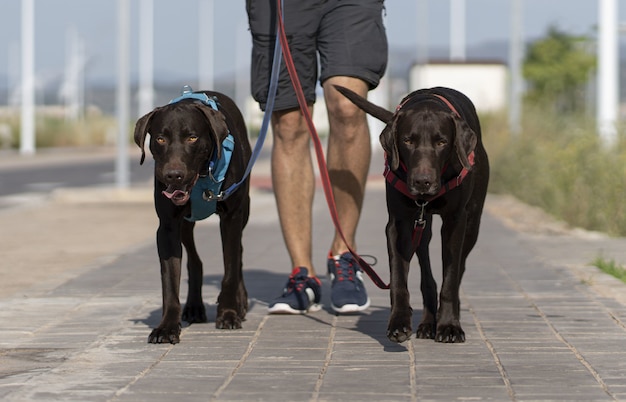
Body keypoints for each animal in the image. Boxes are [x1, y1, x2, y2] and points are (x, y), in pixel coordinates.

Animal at [133, 88, 250, 346]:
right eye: (160, 138)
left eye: (192, 138)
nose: (173, 175)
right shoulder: (167, 227)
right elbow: (170, 281)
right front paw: (167, 327)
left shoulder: (231, 218)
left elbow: (230, 268)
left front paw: (228, 313)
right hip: (185, 225)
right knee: (195, 261)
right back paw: (194, 307)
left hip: (243, 211)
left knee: (238, 255)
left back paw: (240, 301)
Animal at [334, 85, 486, 342]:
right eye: (407, 140)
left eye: (442, 142)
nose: (422, 182)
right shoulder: (398, 225)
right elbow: (398, 279)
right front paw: (398, 322)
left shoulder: (456, 222)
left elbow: (450, 277)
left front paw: (449, 325)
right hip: (421, 228)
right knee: (427, 273)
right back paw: (427, 323)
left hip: (472, 226)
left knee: (457, 270)